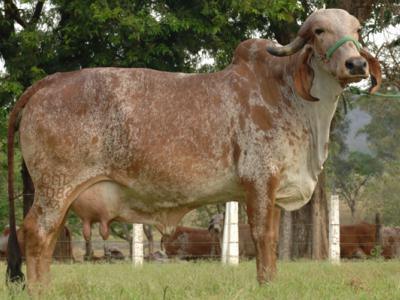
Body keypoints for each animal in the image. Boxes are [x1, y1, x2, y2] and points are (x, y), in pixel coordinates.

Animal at [7, 8, 382, 286]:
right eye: (319, 31)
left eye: (357, 30)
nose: (356, 64)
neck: (289, 93)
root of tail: (47, 83)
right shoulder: (259, 180)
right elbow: (263, 236)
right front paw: (266, 284)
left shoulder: (273, 188)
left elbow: (273, 240)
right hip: (55, 188)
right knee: (36, 235)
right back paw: (40, 290)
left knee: (47, 240)